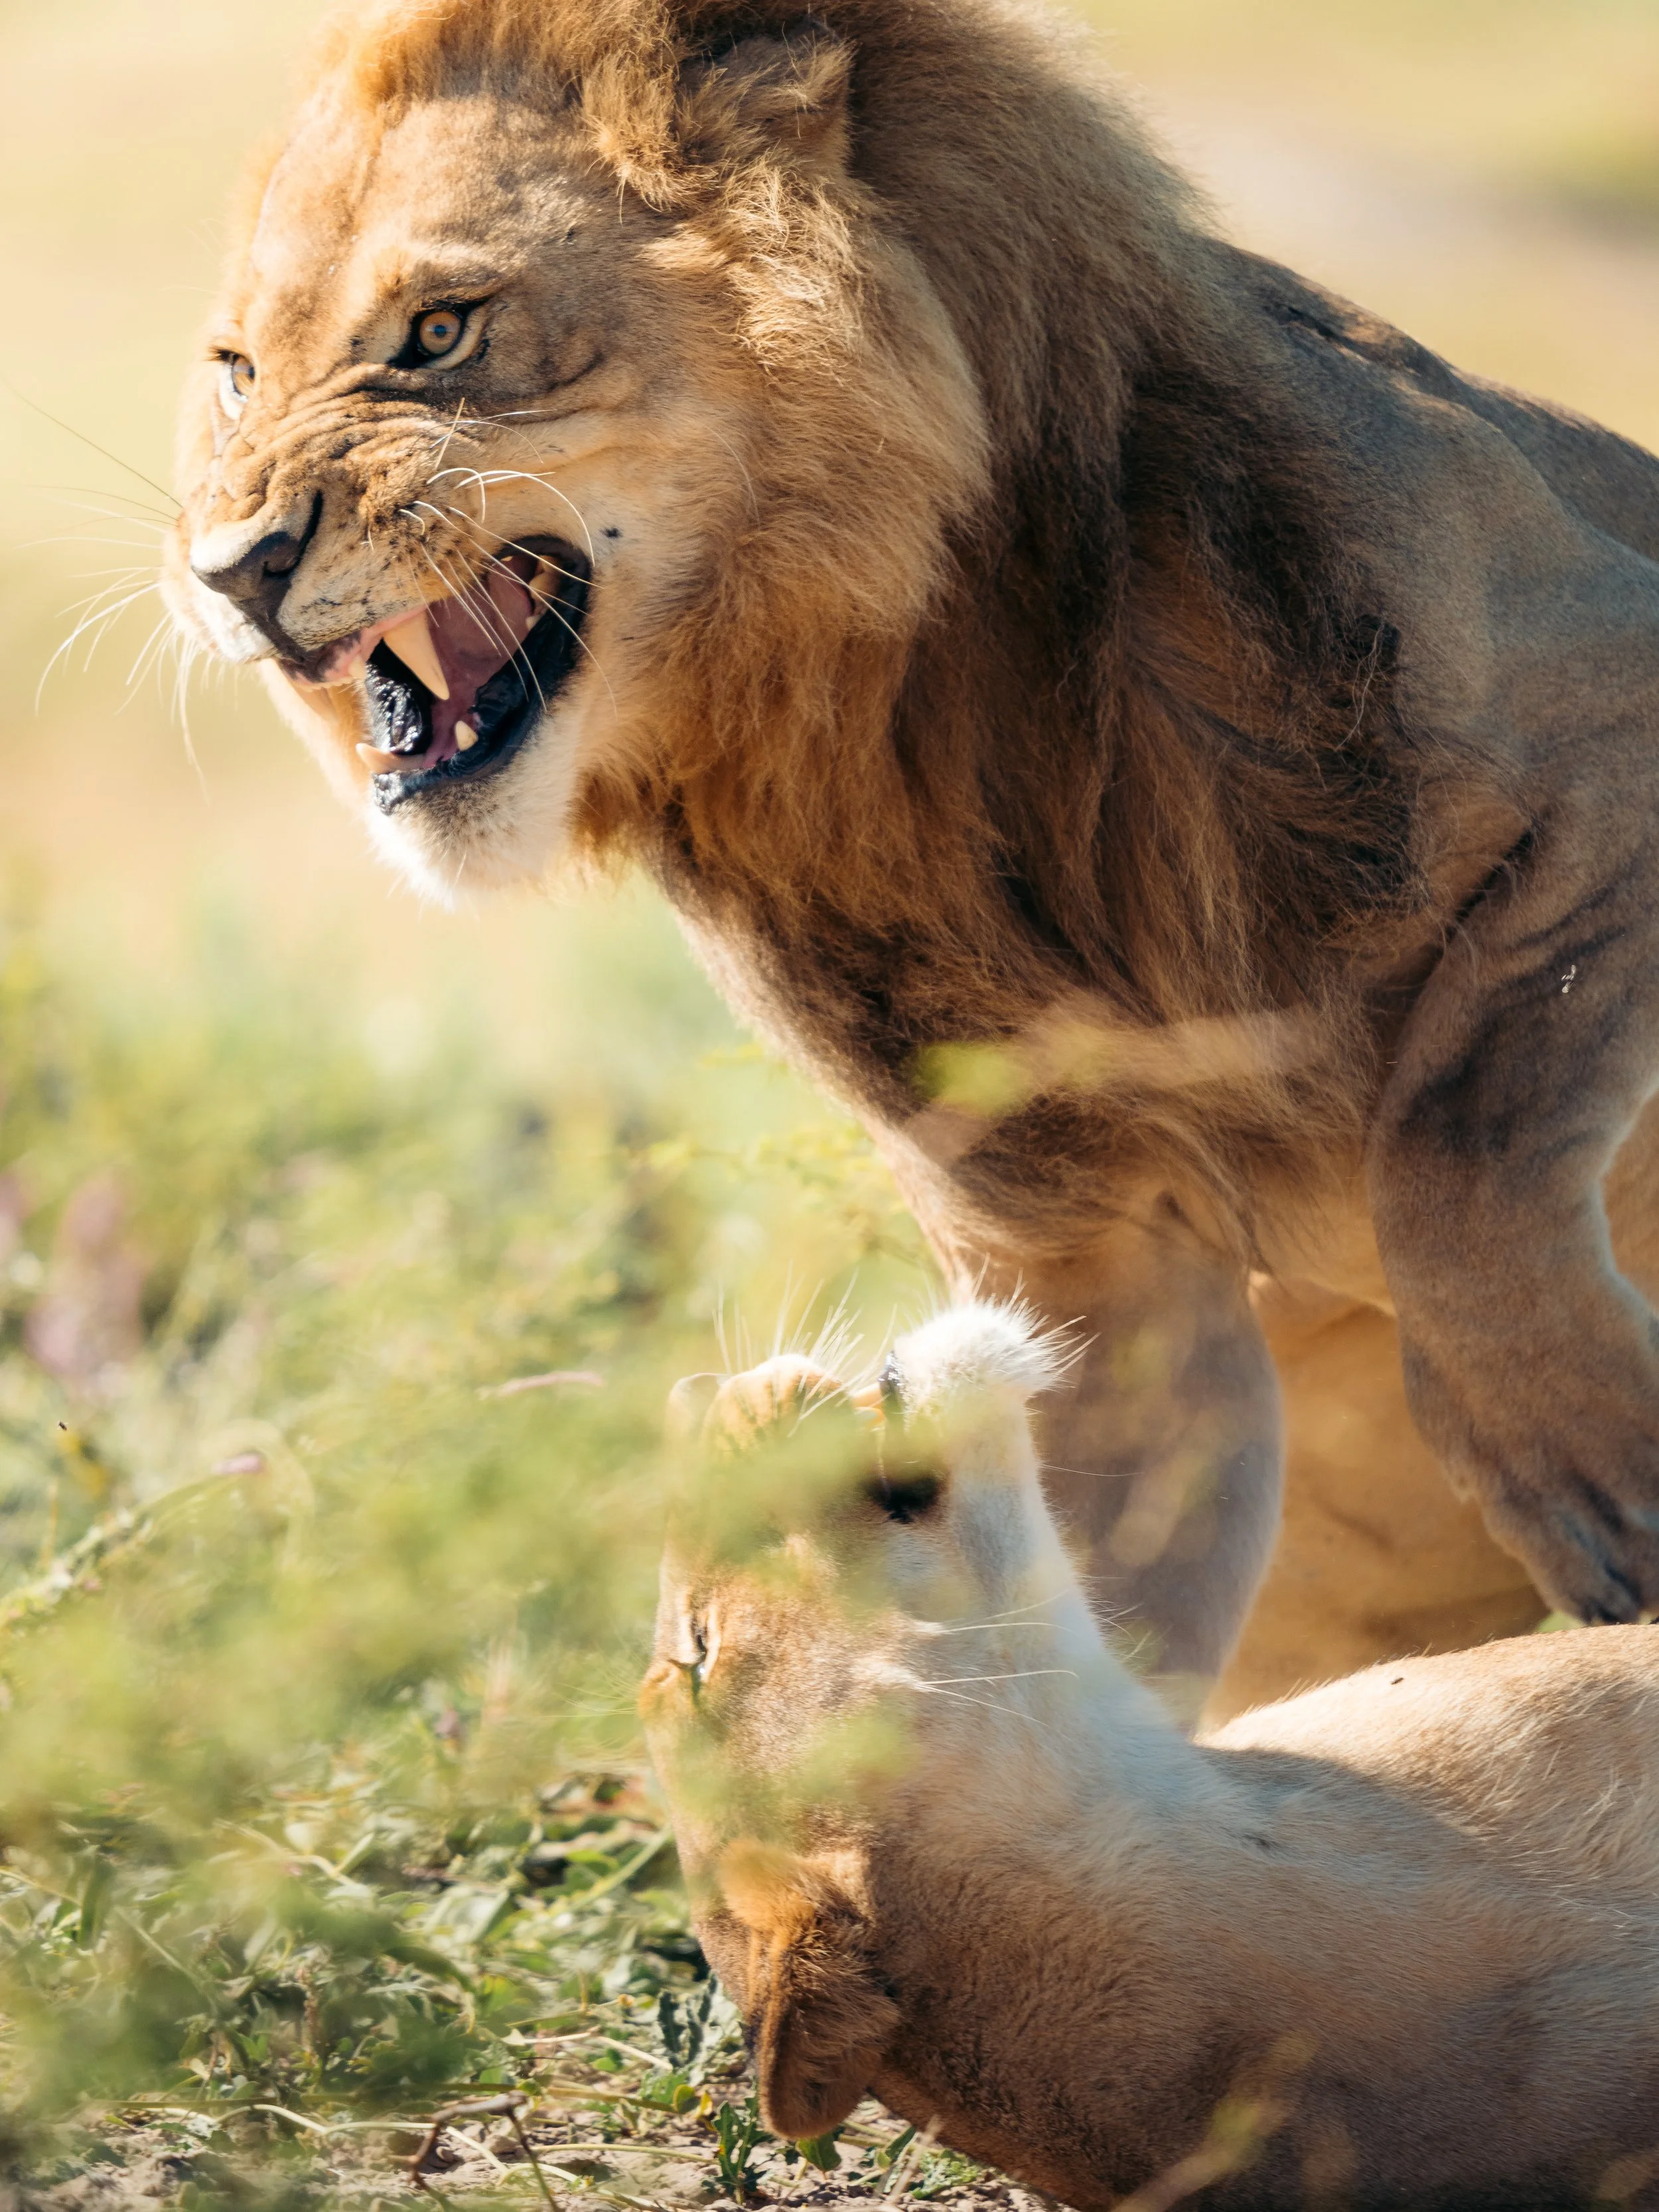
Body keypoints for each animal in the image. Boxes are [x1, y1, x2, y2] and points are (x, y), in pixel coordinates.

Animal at [165, 0, 1659, 1712]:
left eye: (438, 331)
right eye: (235, 374)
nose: (227, 570)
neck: (881, 715)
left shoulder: (1612, 736)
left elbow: (1458, 1123)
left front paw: (1594, 1475)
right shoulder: (1083, 1256)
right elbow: (1095, 1573)